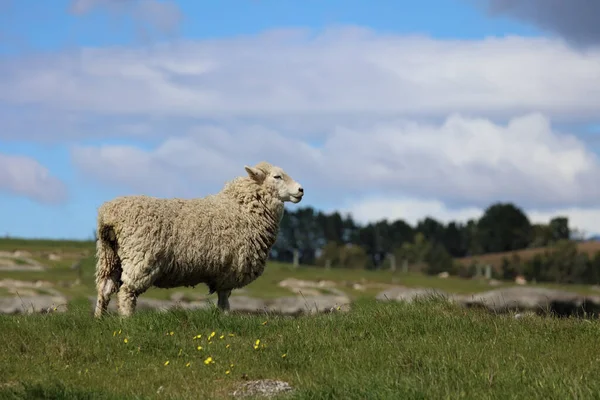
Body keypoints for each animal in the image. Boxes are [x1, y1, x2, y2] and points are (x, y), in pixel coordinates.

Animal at [94, 161, 304, 318]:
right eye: (277, 177)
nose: (301, 190)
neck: (242, 208)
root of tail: (109, 213)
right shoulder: (230, 269)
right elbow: (224, 299)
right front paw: (225, 318)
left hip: (109, 256)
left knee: (104, 289)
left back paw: (99, 319)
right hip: (139, 256)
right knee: (126, 292)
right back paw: (127, 321)